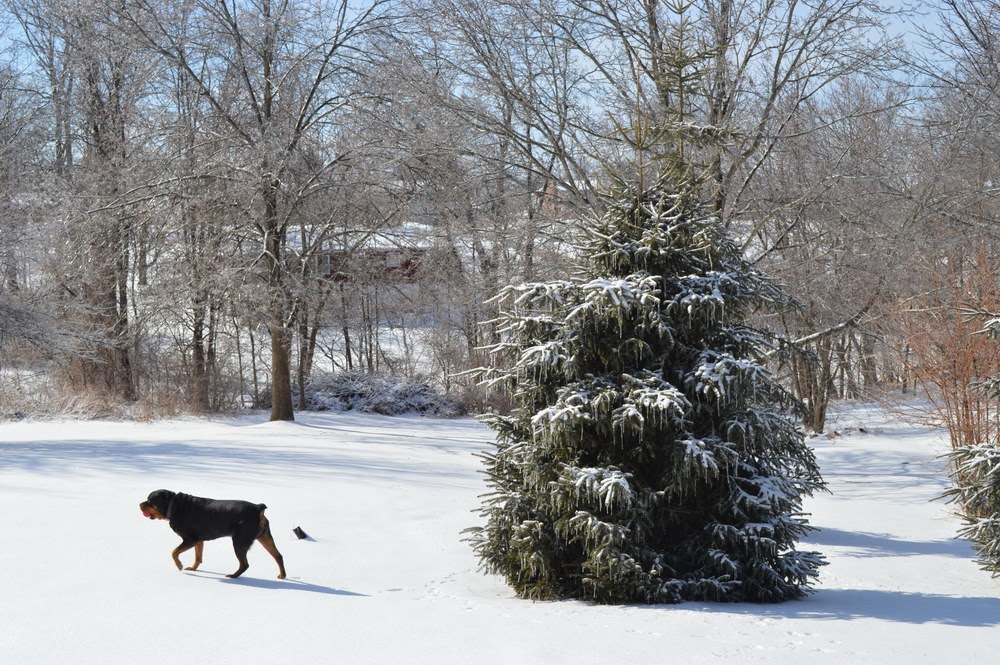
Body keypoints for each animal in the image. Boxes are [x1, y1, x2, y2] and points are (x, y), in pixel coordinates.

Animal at [139, 489, 286, 579]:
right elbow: (198, 557)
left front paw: (179, 565)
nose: (139, 504)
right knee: (278, 556)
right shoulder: (199, 540)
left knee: (245, 564)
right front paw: (193, 568)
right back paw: (282, 575)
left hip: (239, 541)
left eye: (150, 501)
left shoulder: (190, 539)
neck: (174, 506)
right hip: (265, 537)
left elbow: (174, 552)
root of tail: (257, 508)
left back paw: (233, 576)